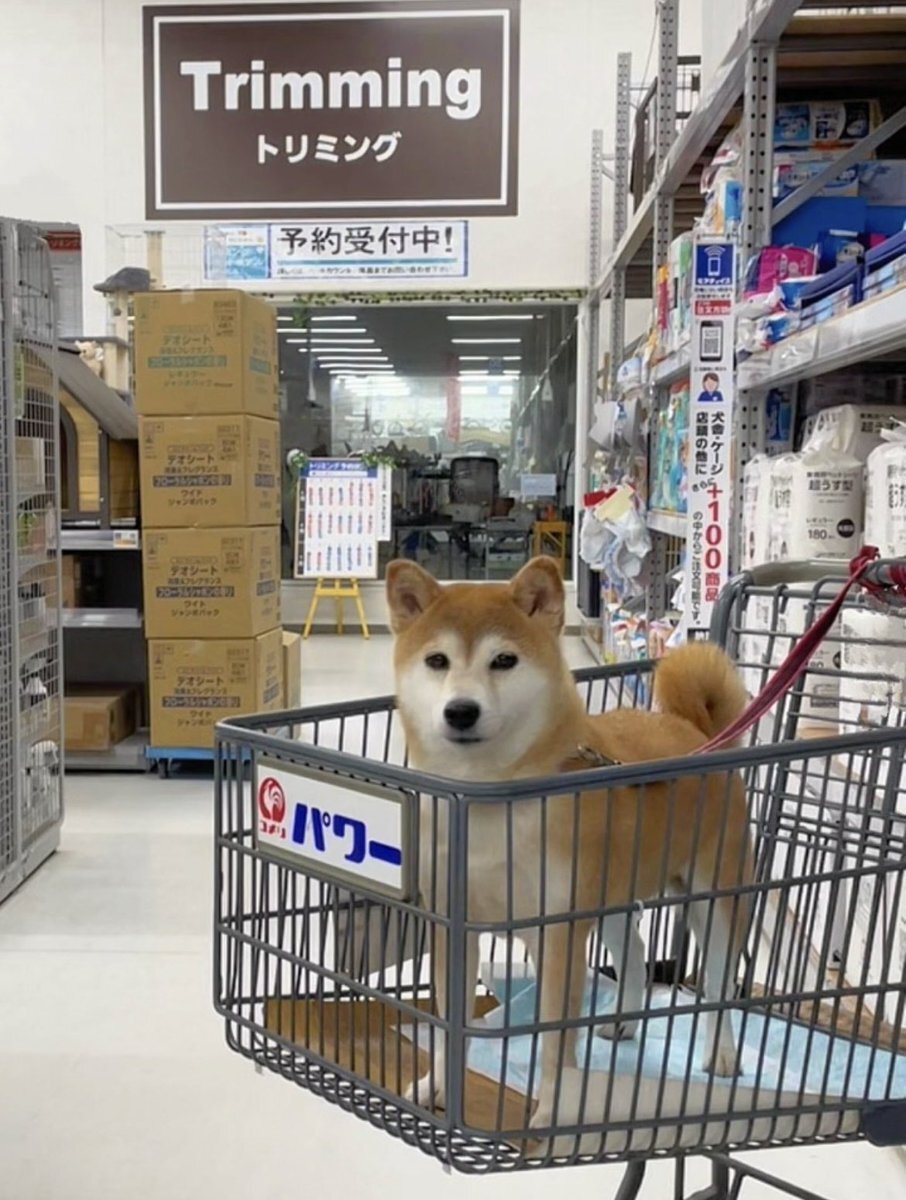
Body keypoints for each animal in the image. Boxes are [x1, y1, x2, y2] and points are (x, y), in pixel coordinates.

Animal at [386, 555, 753, 1130]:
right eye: (437, 660)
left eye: (504, 660)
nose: (461, 711)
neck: (490, 797)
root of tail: (693, 732)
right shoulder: (454, 923)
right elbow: (450, 1027)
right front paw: (438, 1085)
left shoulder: (558, 935)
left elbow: (556, 1040)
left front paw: (554, 1108)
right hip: (609, 894)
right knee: (636, 955)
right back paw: (624, 1021)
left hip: (713, 898)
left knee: (716, 987)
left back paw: (722, 1053)